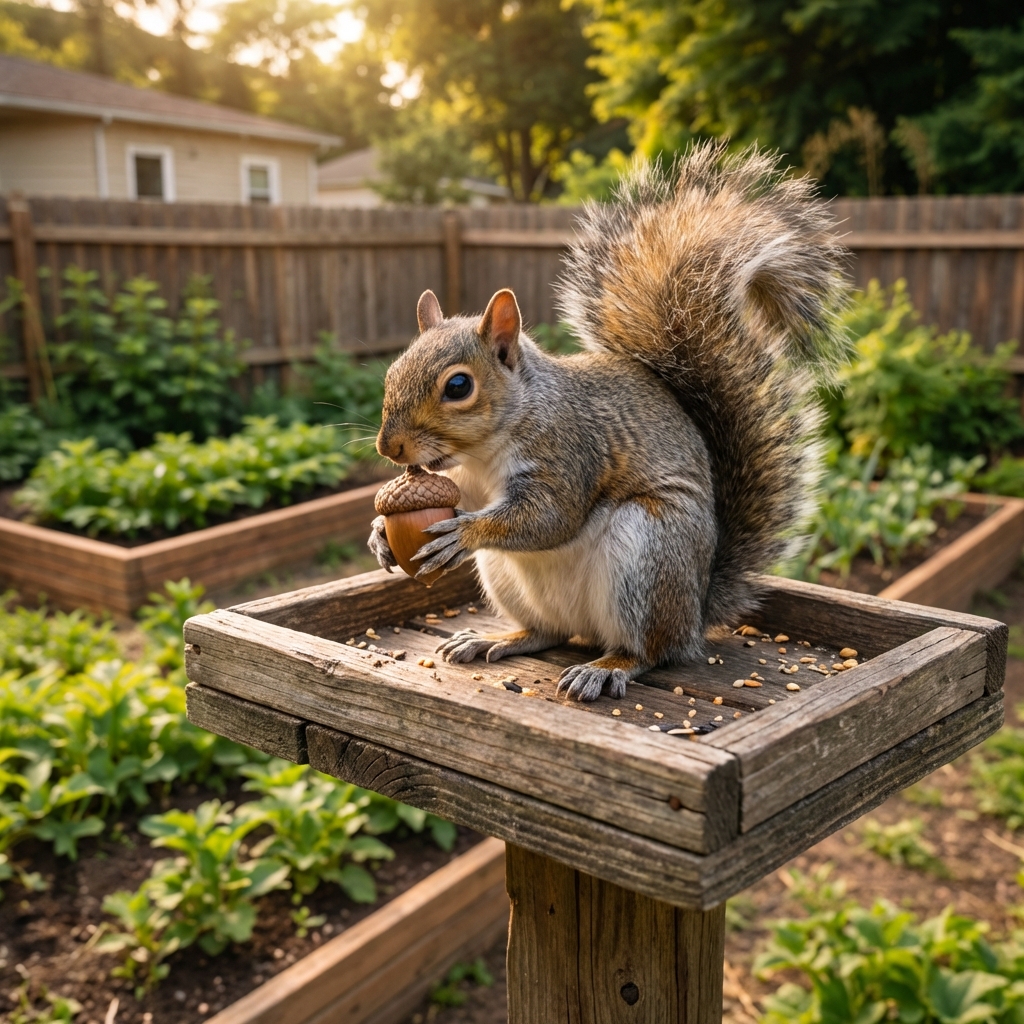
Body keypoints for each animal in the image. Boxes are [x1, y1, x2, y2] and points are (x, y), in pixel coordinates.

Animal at [368, 142, 847, 702]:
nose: (389, 448)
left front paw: (463, 533)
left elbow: (548, 517)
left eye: (459, 386)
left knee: (651, 651)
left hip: (649, 553)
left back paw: (607, 667)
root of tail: (696, 612)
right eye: (392, 370)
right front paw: (380, 534)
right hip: (512, 579)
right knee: (547, 632)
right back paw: (498, 638)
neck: (483, 453)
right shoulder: (464, 483)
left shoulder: (569, 451)